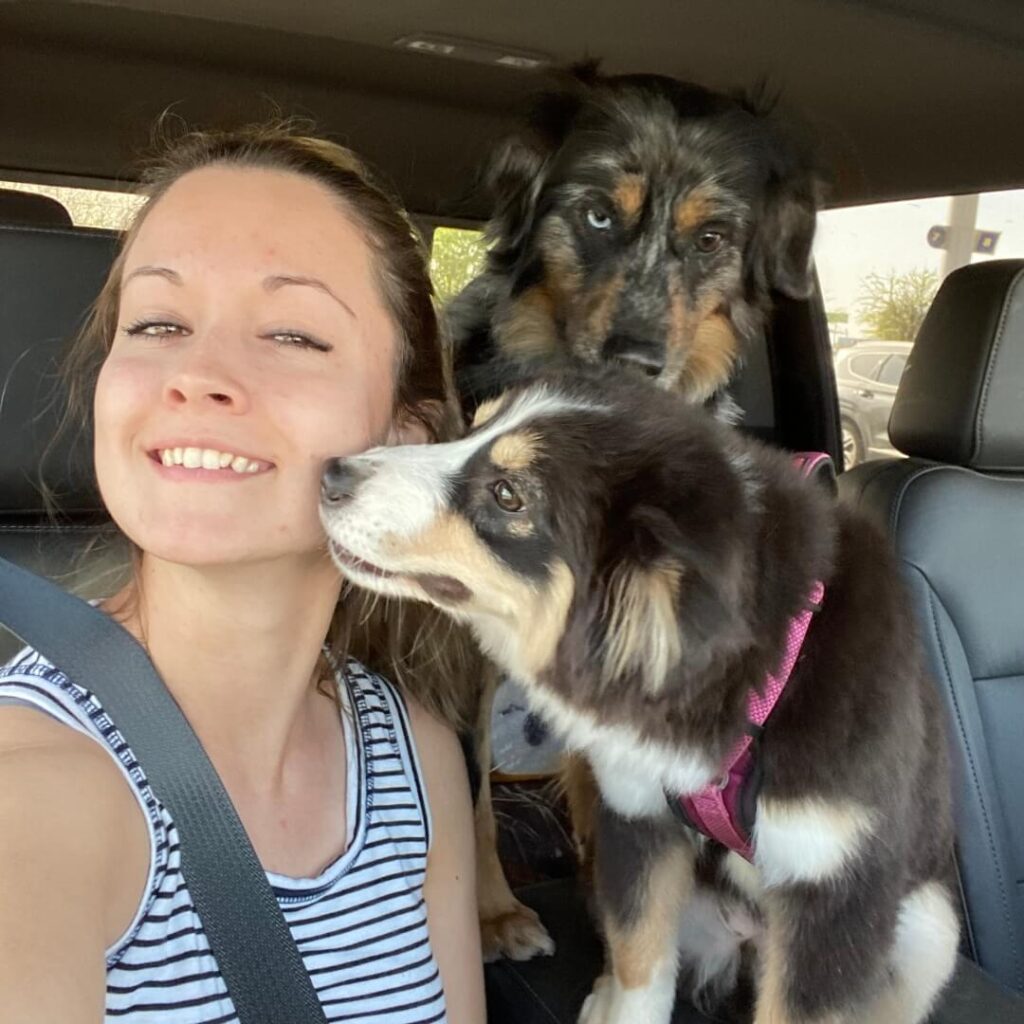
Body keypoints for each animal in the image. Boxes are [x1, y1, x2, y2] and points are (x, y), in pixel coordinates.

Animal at [321, 372, 958, 1024]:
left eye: (507, 495)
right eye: (472, 426)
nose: (331, 474)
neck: (767, 685)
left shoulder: (836, 891)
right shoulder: (636, 817)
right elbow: (640, 974)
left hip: (930, 928)